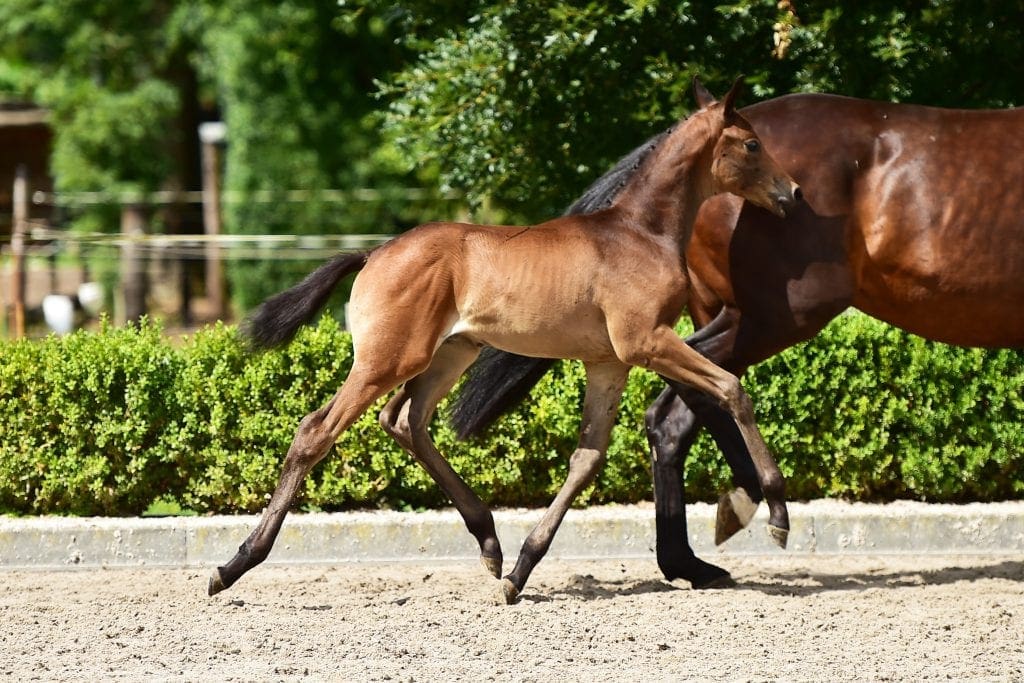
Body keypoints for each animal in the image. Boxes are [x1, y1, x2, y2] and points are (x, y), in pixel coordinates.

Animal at [207, 79, 801, 603]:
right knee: (317, 431)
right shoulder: (646, 342)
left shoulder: (609, 363)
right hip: (388, 359)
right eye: (752, 143)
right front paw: (776, 510)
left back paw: (491, 544)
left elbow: (587, 458)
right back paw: (233, 565)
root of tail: (373, 253)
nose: (792, 193)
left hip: (451, 352)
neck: (639, 233)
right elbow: (731, 389)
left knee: (404, 420)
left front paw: (520, 571)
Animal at [451, 89, 1024, 588]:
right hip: (778, 314)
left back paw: (692, 556)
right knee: (694, 397)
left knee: (682, 407)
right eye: (751, 146)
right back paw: (753, 509)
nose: (792, 194)